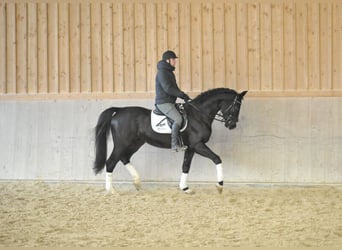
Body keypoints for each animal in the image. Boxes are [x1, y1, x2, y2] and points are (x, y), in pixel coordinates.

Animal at [93, 88, 248, 193]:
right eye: (236, 106)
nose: (232, 125)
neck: (199, 115)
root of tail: (119, 111)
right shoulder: (198, 145)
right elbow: (217, 159)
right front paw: (220, 185)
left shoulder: (191, 147)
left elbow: (185, 166)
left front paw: (184, 188)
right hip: (122, 144)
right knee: (111, 162)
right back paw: (111, 190)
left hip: (135, 143)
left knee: (124, 158)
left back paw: (137, 183)